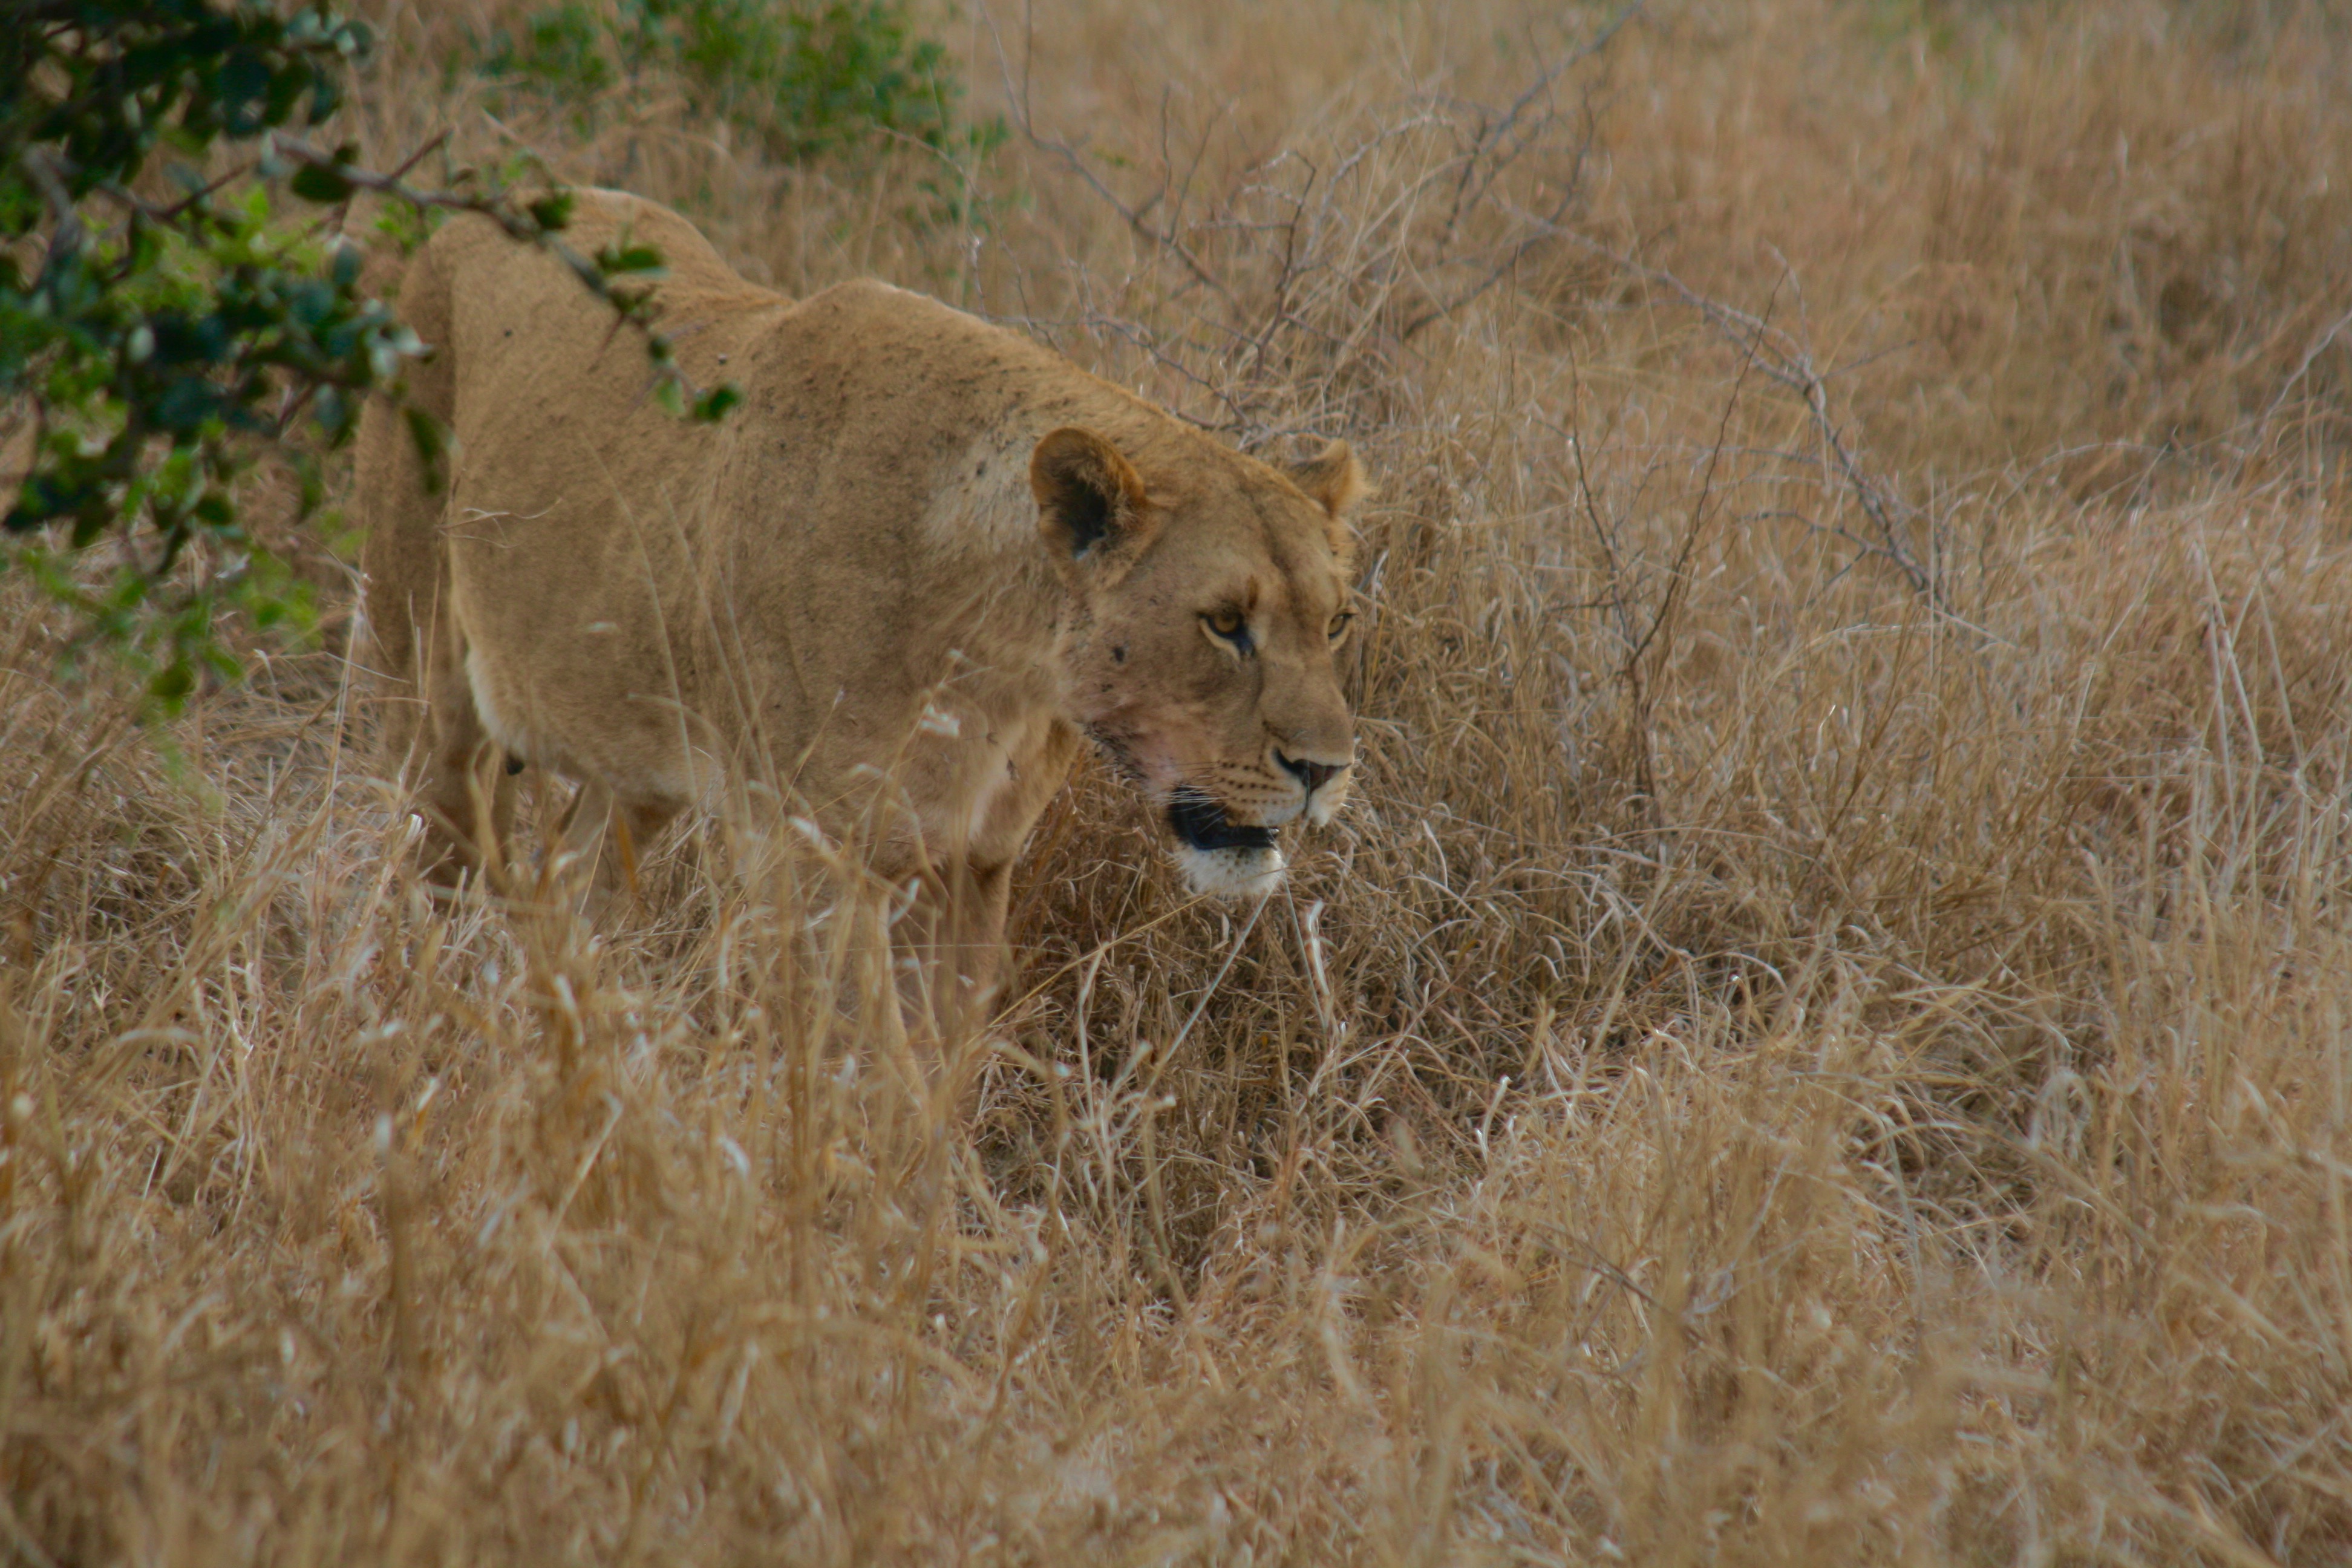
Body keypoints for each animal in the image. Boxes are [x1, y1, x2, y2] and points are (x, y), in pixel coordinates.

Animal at [353, 189, 1364, 1006]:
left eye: (1337, 622)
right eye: (1224, 624)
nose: (1326, 771)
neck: (1000, 670)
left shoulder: (969, 866)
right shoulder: (810, 856)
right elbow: (859, 1062)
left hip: (630, 750)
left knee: (571, 890)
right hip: (431, 693)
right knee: (434, 865)